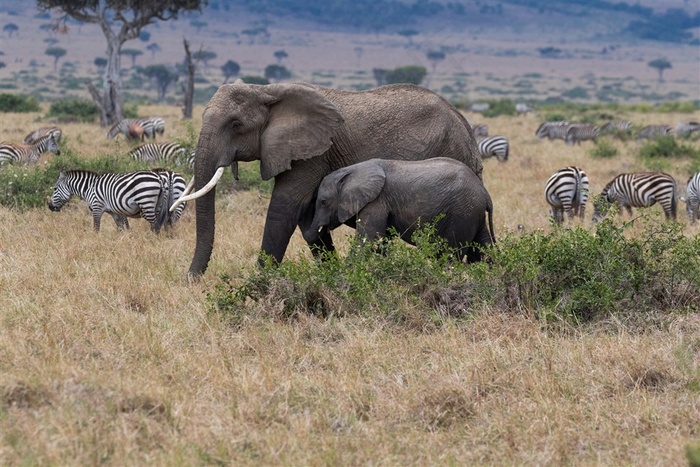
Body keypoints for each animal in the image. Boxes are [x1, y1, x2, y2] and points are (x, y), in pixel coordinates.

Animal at [46, 169, 178, 233]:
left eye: (55, 188)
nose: (50, 207)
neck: (89, 188)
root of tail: (159, 177)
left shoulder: (97, 207)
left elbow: (96, 228)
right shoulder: (114, 211)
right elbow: (120, 227)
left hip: (146, 202)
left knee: (155, 225)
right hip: (159, 205)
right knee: (163, 223)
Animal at [308, 158, 498, 264]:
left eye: (323, 202)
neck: (350, 171)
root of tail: (485, 193)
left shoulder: (376, 201)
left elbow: (368, 239)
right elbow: (380, 241)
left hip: (462, 212)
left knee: (450, 253)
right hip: (473, 213)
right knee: (484, 246)